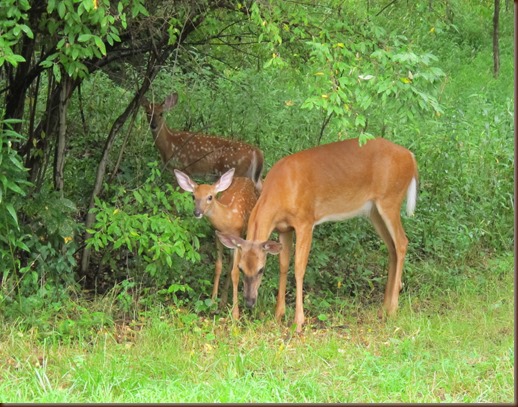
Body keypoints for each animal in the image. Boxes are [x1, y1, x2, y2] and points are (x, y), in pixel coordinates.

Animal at [175, 167, 258, 318]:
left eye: (210, 197)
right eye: (193, 196)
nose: (197, 212)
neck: (227, 219)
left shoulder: (238, 239)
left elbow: (235, 273)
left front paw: (235, 314)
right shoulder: (217, 236)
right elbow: (218, 267)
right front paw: (213, 304)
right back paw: (222, 302)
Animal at [217, 137, 420, 332]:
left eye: (261, 269)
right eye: (241, 268)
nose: (249, 302)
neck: (281, 190)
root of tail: (411, 157)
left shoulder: (305, 221)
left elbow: (299, 268)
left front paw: (298, 322)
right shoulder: (284, 229)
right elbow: (283, 265)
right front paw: (278, 315)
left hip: (390, 200)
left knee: (402, 242)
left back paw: (393, 309)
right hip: (374, 211)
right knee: (392, 248)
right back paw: (384, 307)